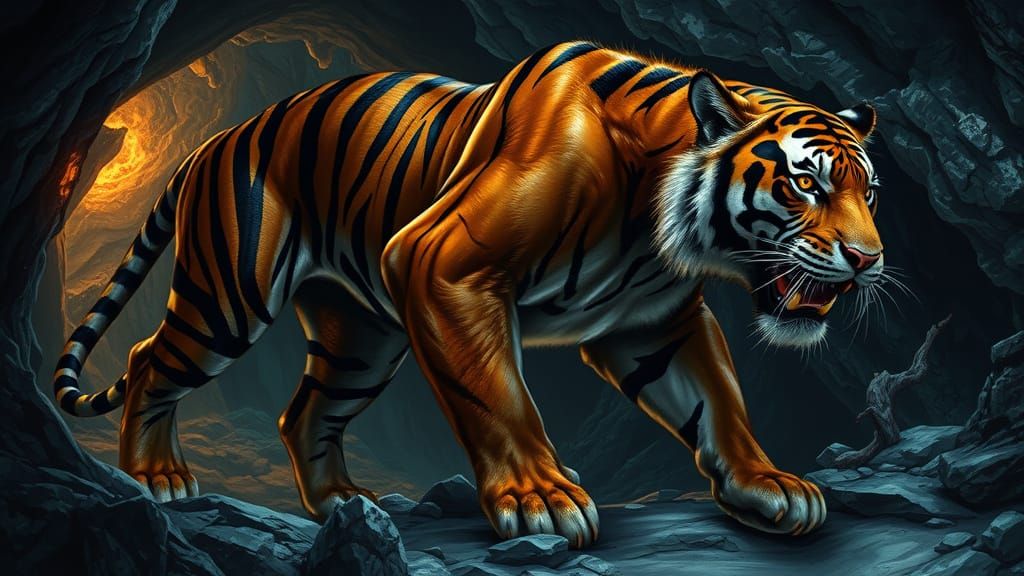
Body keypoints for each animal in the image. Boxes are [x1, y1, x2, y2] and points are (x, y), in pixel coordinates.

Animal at [54, 41, 884, 548]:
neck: (655, 217)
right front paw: (540, 497)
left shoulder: (654, 324)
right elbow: (498, 396)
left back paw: (345, 504)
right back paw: (156, 478)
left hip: (361, 338)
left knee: (305, 412)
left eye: (870, 190)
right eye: (806, 183)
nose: (868, 257)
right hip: (229, 300)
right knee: (150, 358)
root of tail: (212, 141)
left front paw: (766, 483)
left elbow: (719, 401)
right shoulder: (443, 267)